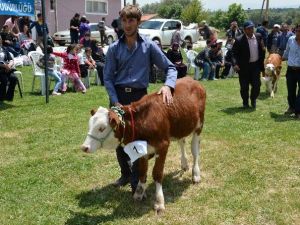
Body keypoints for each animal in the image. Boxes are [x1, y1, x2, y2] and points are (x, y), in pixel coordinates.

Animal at [81, 77, 206, 213]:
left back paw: (196, 174)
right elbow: (142, 172)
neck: (143, 121)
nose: (84, 147)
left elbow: (157, 173)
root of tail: (191, 79)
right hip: (181, 125)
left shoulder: (163, 146)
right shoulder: (141, 149)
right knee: (182, 142)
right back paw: (184, 164)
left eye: (101, 128)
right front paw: (138, 193)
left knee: (195, 150)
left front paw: (159, 202)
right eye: (89, 125)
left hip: (199, 126)